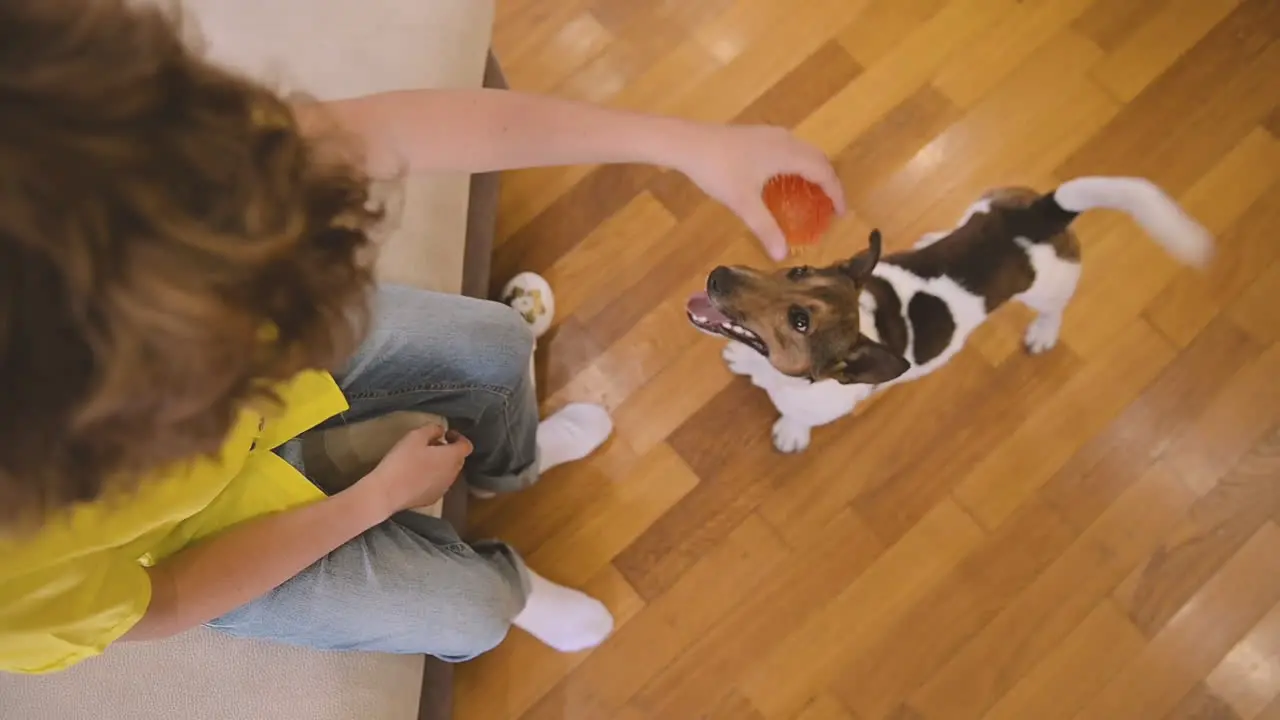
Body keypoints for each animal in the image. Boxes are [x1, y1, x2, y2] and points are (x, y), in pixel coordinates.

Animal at [686, 175, 1213, 450]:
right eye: (797, 270)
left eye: (800, 321)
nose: (716, 277)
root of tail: (1041, 216)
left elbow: (798, 420)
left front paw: (791, 432)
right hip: (985, 203)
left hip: (1049, 290)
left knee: (1056, 310)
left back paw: (1044, 333)